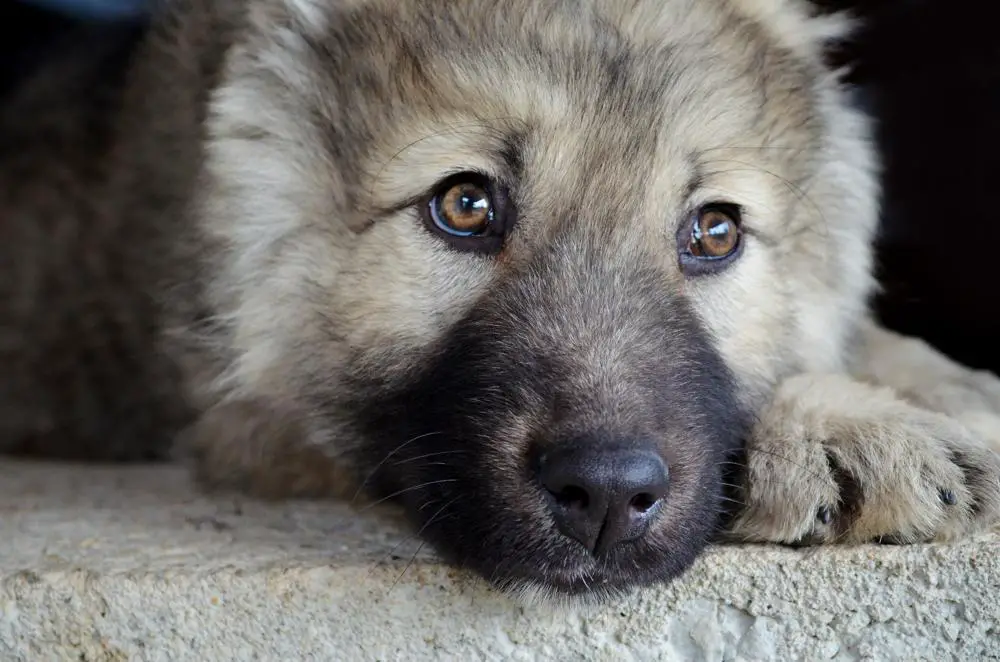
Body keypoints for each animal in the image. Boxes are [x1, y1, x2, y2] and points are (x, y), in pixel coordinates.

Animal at [1, 0, 1000, 604]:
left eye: (714, 232)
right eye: (466, 206)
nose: (607, 495)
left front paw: (886, 404)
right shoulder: (241, 419)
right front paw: (845, 422)